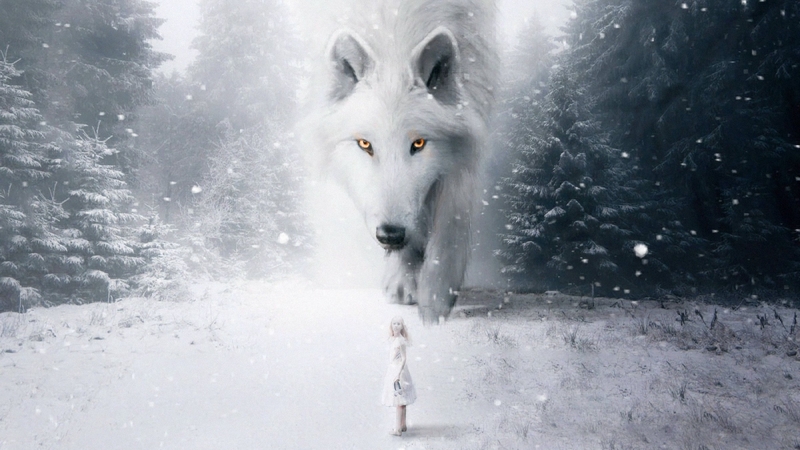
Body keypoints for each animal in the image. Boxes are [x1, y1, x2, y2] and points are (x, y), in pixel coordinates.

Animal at [308, 0, 496, 323]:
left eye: (418, 144)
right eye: (365, 144)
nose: (390, 235)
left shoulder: (465, 141)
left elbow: (452, 220)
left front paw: (435, 300)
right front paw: (404, 277)